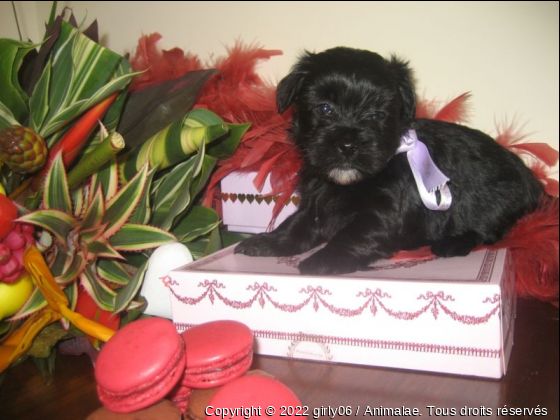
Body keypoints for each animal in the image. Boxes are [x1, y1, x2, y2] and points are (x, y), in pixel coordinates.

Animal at [235, 46, 544, 276]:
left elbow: (355, 233)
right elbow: (296, 224)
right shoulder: (315, 201)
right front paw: (269, 241)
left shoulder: (385, 213)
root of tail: (534, 183)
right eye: (324, 108)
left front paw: (326, 258)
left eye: (378, 115)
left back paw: (451, 244)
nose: (348, 144)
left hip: (493, 200)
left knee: (491, 230)